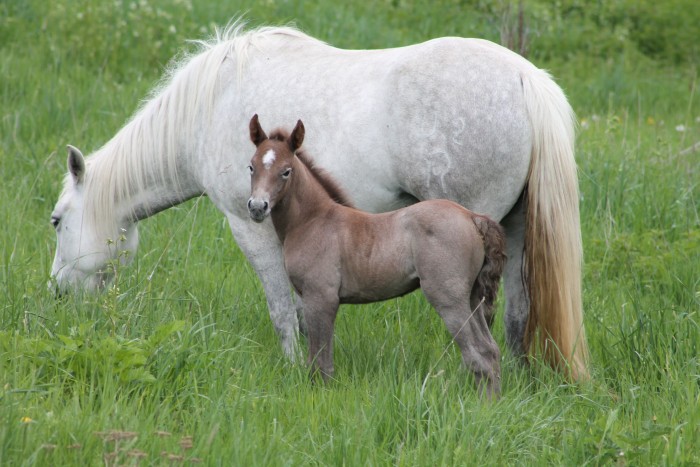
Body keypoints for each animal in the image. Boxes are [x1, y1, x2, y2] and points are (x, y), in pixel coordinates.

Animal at [47, 22, 592, 380]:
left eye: (56, 221)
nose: (57, 295)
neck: (208, 105)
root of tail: (525, 79)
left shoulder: (248, 226)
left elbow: (282, 309)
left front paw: (294, 370)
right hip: (515, 232)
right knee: (517, 317)